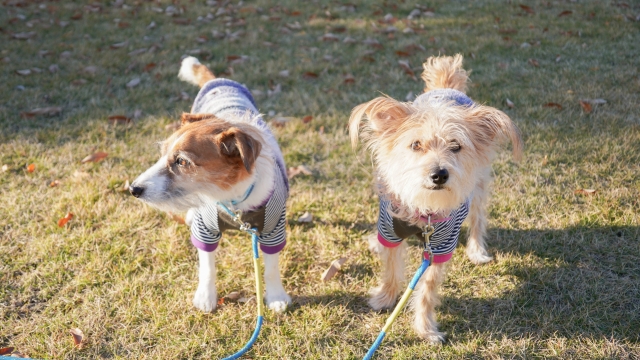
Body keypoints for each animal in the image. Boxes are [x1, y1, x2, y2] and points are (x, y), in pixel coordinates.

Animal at [130, 56, 290, 312]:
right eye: (163, 154)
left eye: (182, 161)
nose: (133, 188)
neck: (232, 198)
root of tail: (218, 80)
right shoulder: (205, 229)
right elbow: (207, 267)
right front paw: (205, 297)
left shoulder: (272, 229)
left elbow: (272, 268)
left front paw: (276, 297)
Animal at [348, 54, 524, 344]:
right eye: (415, 145)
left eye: (456, 146)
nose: (439, 174)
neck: (424, 211)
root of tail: (447, 87)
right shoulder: (390, 230)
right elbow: (392, 268)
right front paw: (385, 298)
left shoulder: (440, 246)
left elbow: (427, 289)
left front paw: (425, 327)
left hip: (477, 187)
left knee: (478, 219)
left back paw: (477, 250)